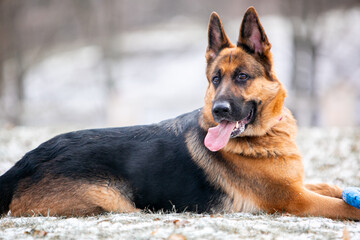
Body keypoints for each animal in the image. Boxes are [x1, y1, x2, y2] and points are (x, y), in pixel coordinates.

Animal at [0, 6, 360, 220]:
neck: (264, 136)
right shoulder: (296, 200)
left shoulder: (298, 187)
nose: (219, 110)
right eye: (215, 79)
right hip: (115, 203)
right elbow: (342, 205)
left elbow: (330, 186)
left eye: (242, 77)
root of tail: (25, 162)